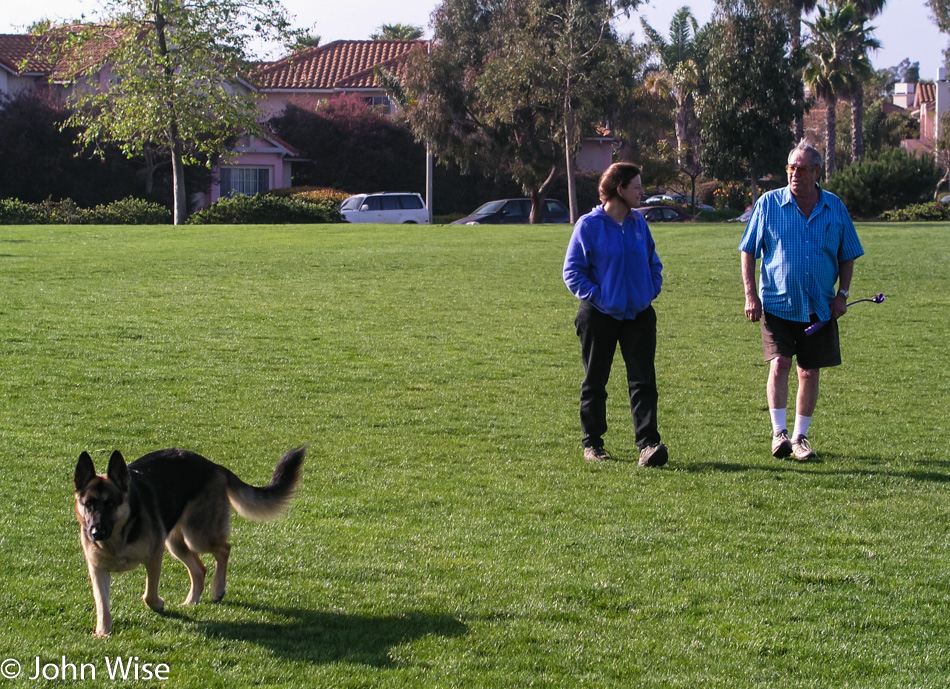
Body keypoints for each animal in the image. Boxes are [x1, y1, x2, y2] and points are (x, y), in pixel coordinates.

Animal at [74, 446, 304, 636]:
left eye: (110, 504)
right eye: (88, 504)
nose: (96, 532)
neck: (118, 537)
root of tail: (213, 465)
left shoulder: (154, 556)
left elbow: (149, 595)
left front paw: (159, 604)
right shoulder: (97, 570)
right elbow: (102, 603)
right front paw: (103, 631)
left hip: (196, 536)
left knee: (224, 548)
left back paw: (218, 589)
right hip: (176, 544)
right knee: (200, 569)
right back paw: (192, 601)